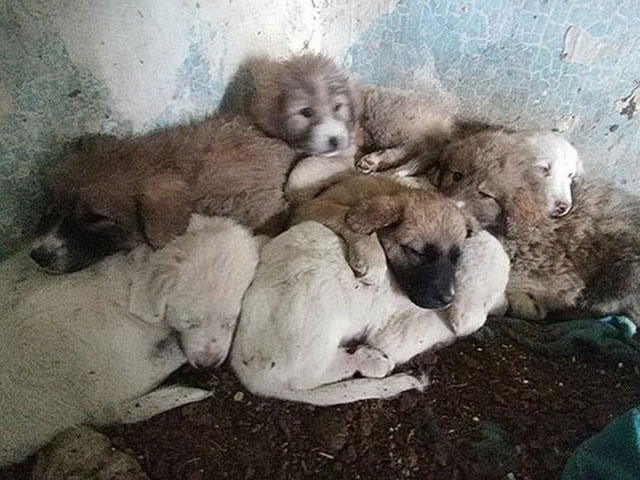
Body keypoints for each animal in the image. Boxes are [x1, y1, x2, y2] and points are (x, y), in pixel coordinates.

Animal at [231, 222, 510, 404]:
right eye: (488, 298)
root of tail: (249, 370)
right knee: (306, 375)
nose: (505, 307)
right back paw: (370, 360)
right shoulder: (398, 335)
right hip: (318, 313)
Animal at [292, 174, 468, 310]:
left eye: (455, 257)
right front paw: (373, 259)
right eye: (417, 252)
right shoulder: (310, 207)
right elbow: (343, 215)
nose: (448, 300)